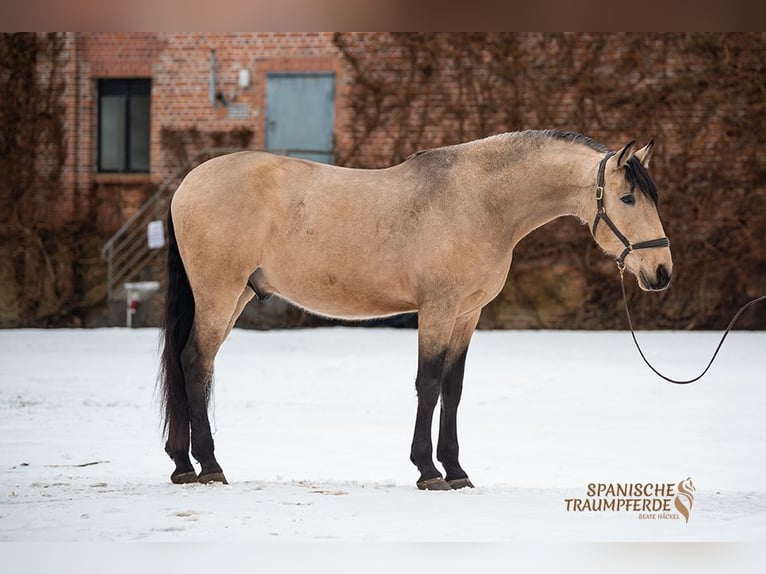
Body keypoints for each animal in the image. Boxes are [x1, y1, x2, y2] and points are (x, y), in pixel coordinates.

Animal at [159, 129, 672, 490]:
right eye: (628, 198)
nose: (662, 271)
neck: (480, 201)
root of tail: (187, 184)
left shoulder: (467, 315)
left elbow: (453, 389)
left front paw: (457, 469)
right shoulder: (437, 310)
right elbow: (428, 385)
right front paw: (428, 470)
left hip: (238, 296)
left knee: (192, 363)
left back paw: (184, 463)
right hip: (219, 294)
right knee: (196, 362)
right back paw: (208, 465)